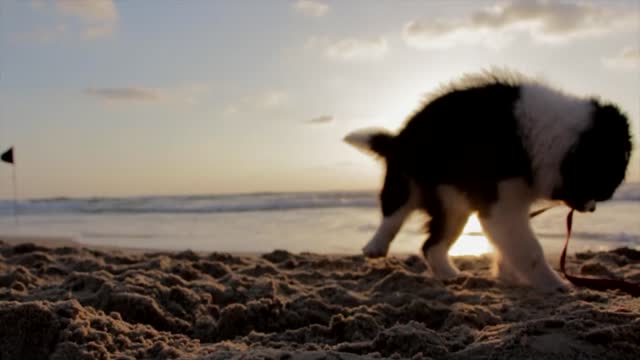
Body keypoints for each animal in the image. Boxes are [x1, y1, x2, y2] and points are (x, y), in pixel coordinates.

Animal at [344, 70, 632, 292]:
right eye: (604, 183)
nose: (592, 208)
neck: (553, 138)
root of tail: (399, 139)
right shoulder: (503, 204)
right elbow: (529, 249)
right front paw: (556, 285)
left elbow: (511, 245)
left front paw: (509, 276)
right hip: (409, 182)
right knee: (394, 215)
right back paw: (376, 247)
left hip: (454, 204)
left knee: (431, 245)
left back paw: (450, 275)